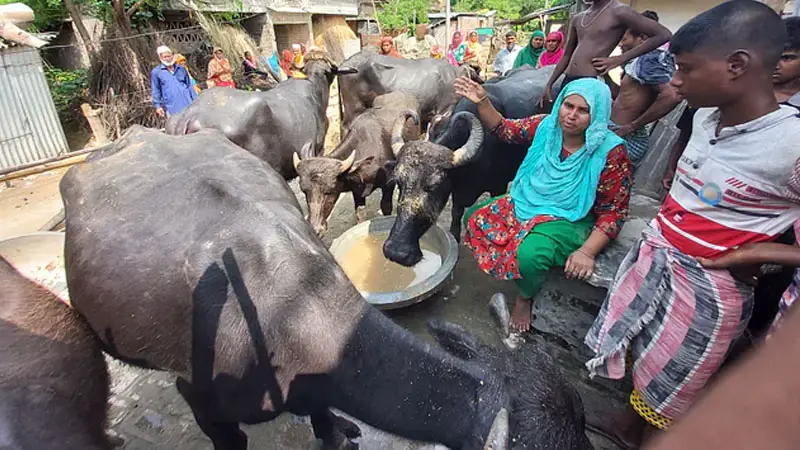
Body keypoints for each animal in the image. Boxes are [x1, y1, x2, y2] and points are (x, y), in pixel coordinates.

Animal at [292, 91, 418, 236]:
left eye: (328, 191)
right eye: (304, 191)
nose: (316, 229)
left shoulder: (388, 184)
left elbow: (386, 207)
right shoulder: (357, 191)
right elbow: (360, 214)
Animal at [384, 65, 560, 266]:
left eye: (434, 186)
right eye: (399, 183)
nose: (396, 252)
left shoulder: (498, 185)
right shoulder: (457, 192)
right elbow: (456, 213)